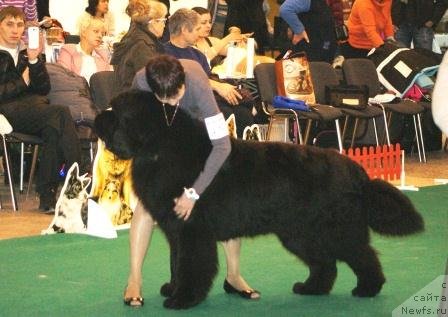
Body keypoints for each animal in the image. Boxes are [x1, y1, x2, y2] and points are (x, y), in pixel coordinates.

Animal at [94, 89, 424, 308]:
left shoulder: (192, 231)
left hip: (333, 230)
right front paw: (172, 289)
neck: (160, 147)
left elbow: (191, 265)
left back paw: (367, 288)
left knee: (362, 256)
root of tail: (358, 173)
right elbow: (177, 263)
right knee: (325, 263)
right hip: (300, 233)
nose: (96, 116)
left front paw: (182, 299)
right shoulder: (177, 231)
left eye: (115, 112)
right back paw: (310, 288)